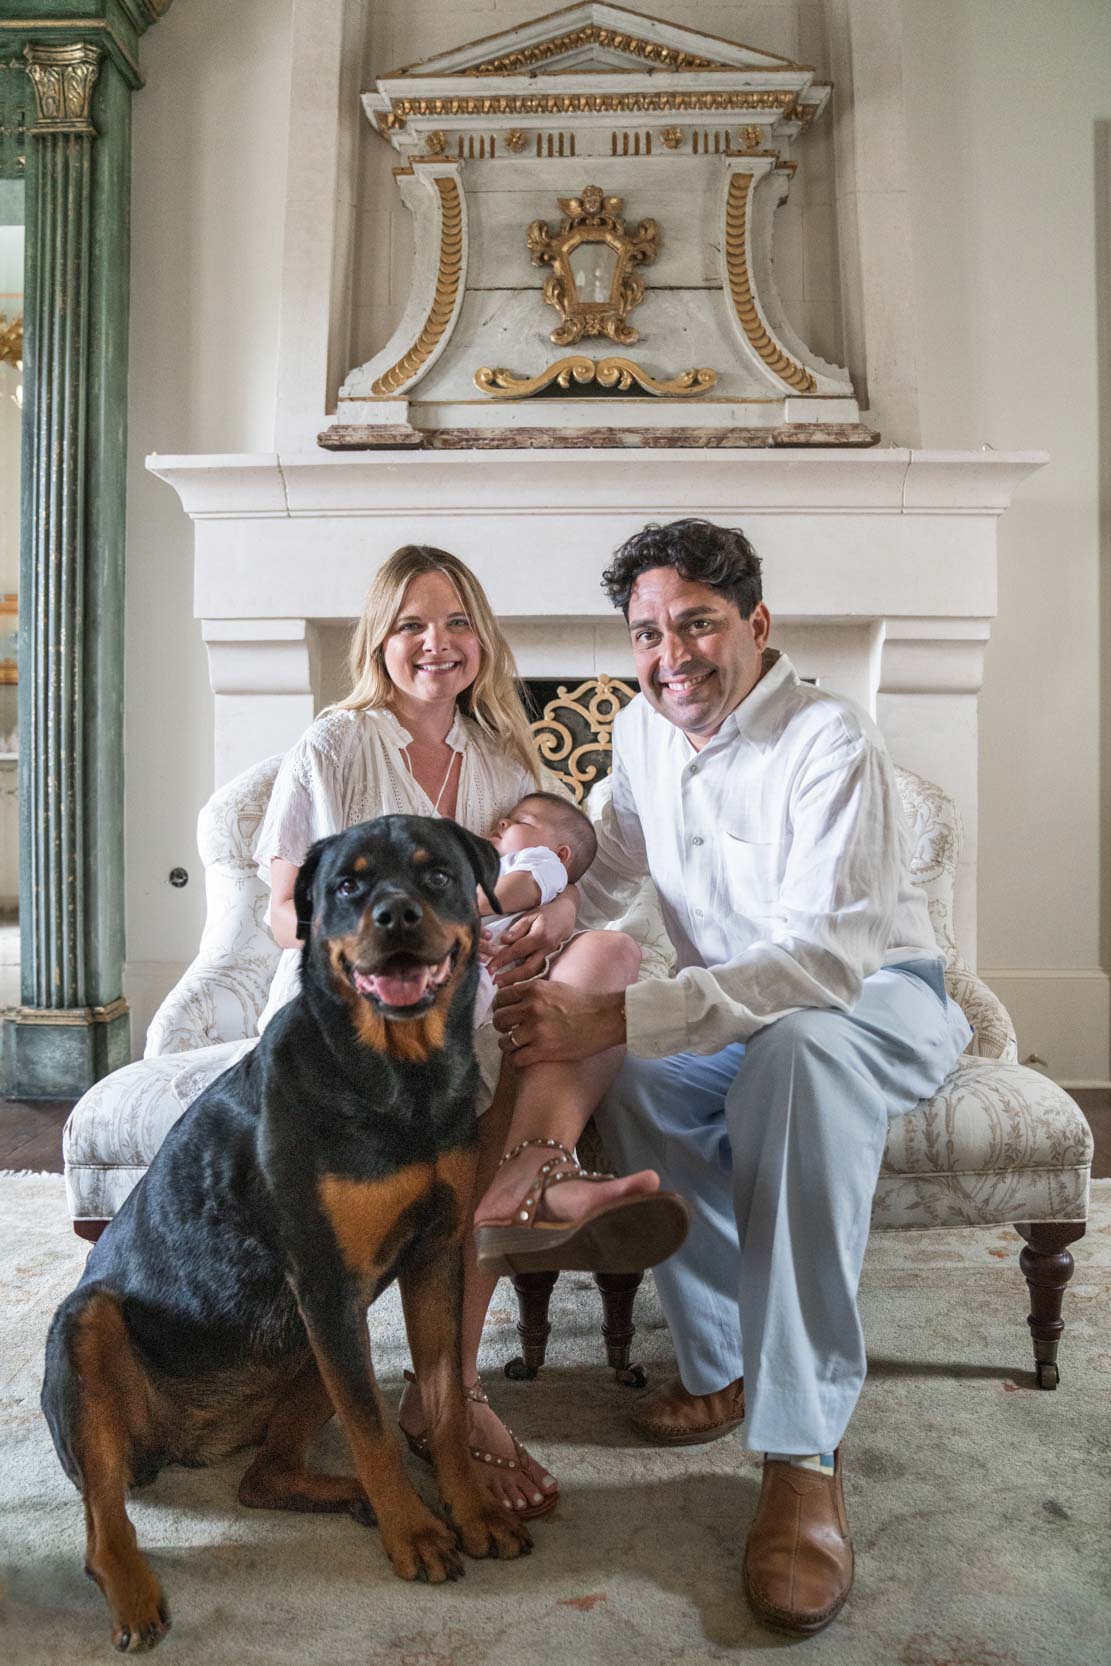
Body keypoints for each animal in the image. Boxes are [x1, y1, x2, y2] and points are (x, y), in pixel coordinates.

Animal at [41, 813, 533, 1646]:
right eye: (347, 885)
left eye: (437, 874)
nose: (395, 915)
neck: (403, 1076)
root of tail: (190, 1442)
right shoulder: (328, 1283)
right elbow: (373, 1428)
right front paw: (415, 1533)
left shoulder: (433, 1258)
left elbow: (442, 1405)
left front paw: (470, 1512)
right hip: (93, 1328)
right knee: (102, 1519)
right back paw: (136, 1596)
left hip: (303, 1349)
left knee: (260, 1477)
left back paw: (346, 1497)